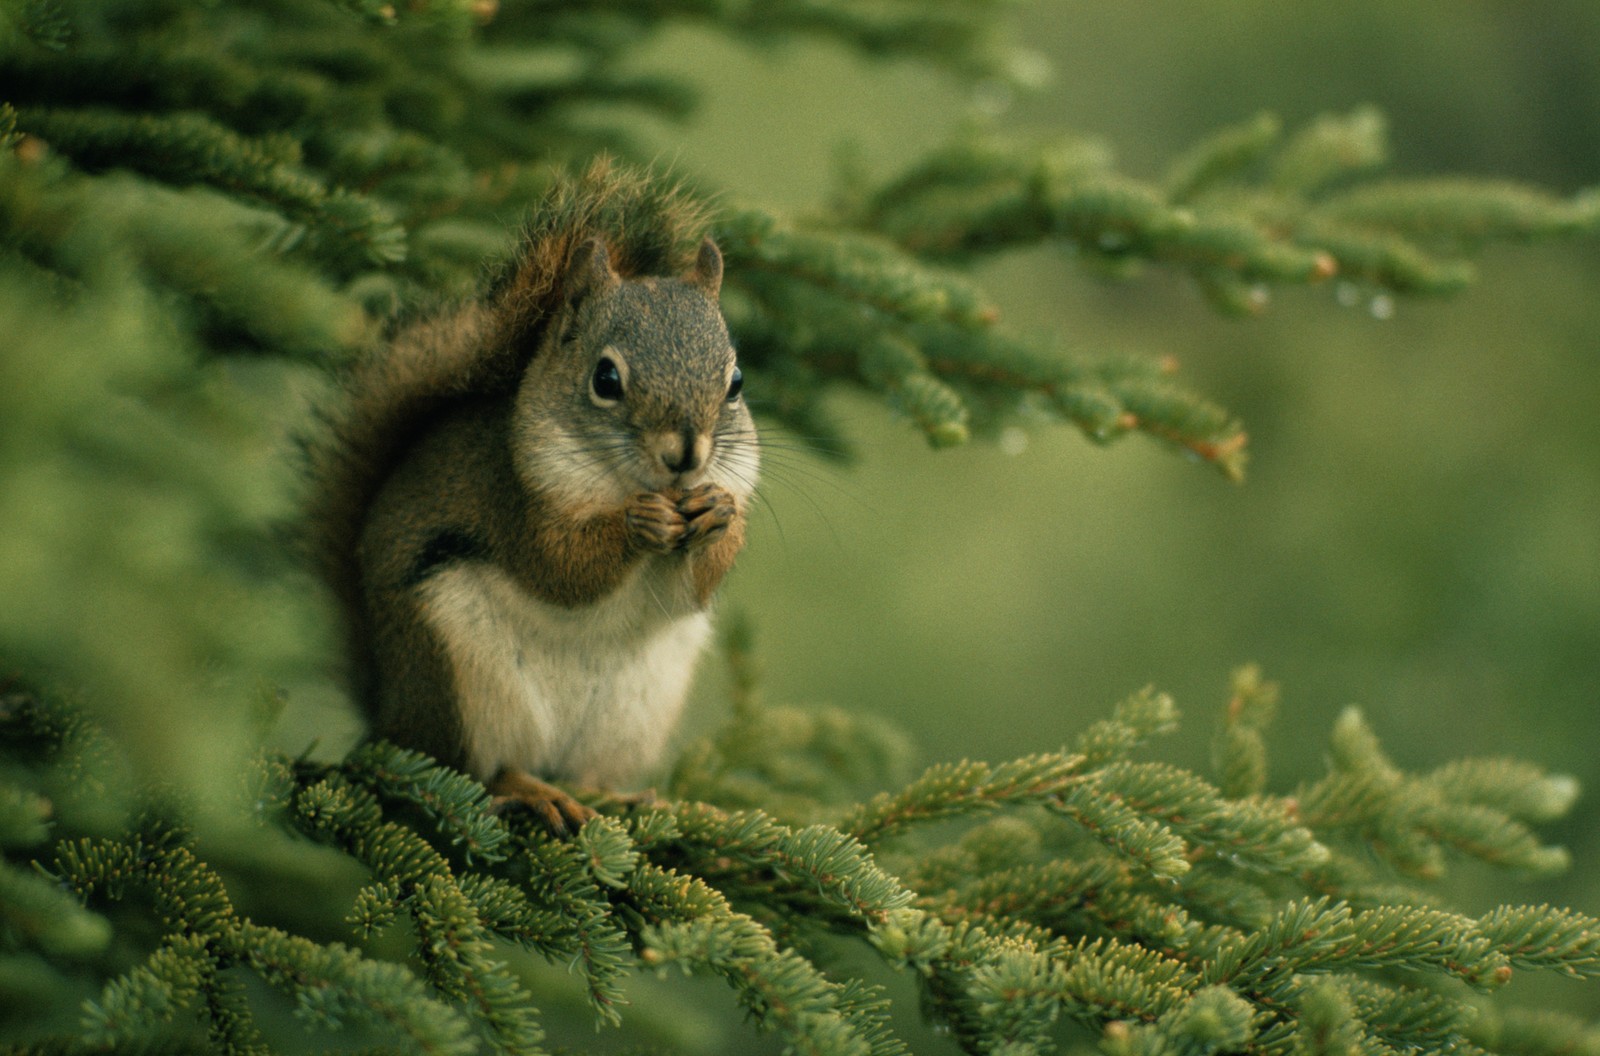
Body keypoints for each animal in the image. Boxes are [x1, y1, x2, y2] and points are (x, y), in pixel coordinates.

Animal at [313, 160, 768, 832]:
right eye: (606, 378)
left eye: (735, 381)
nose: (685, 456)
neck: (628, 481)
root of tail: (389, 716)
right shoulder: (512, 499)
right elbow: (559, 569)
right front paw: (636, 524)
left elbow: (695, 586)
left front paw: (720, 515)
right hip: (459, 678)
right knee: (474, 769)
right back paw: (531, 790)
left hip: (635, 712)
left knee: (588, 775)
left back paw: (625, 798)